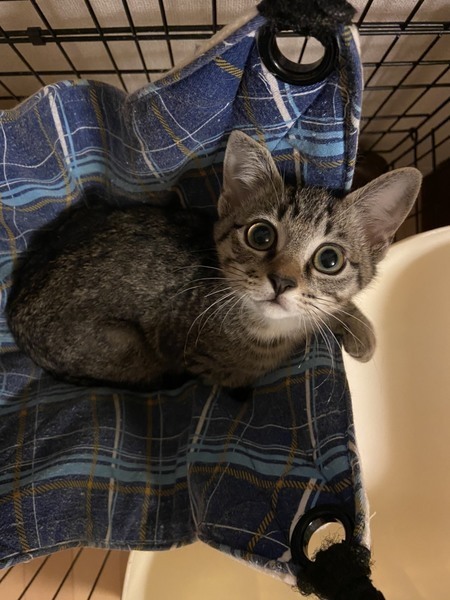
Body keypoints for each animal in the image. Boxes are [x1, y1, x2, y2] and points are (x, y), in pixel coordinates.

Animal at [6, 131, 422, 391]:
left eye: (330, 259)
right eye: (261, 235)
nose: (282, 282)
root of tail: (14, 310)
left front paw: (355, 325)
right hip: (126, 348)